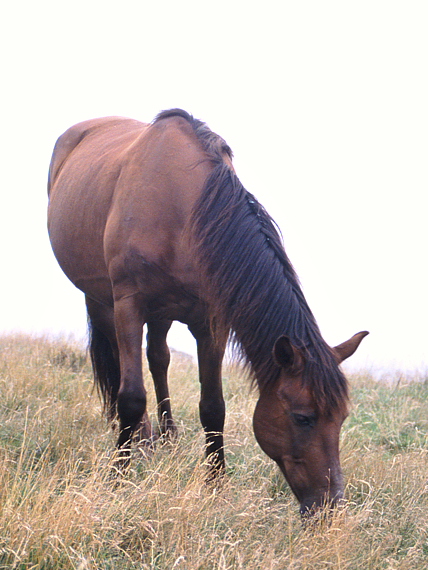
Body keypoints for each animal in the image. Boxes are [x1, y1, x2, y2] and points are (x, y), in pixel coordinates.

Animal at [46, 107, 368, 516]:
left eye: (341, 419)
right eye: (303, 417)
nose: (330, 506)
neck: (181, 209)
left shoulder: (211, 323)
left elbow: (213, 406)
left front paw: (215, 485)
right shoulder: (129, 305)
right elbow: (131, 396)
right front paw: (117, 478)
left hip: (162, 311)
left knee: (159, 357)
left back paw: (164, 436)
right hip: (101, 300)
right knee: (121, 364)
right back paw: (140, 436)